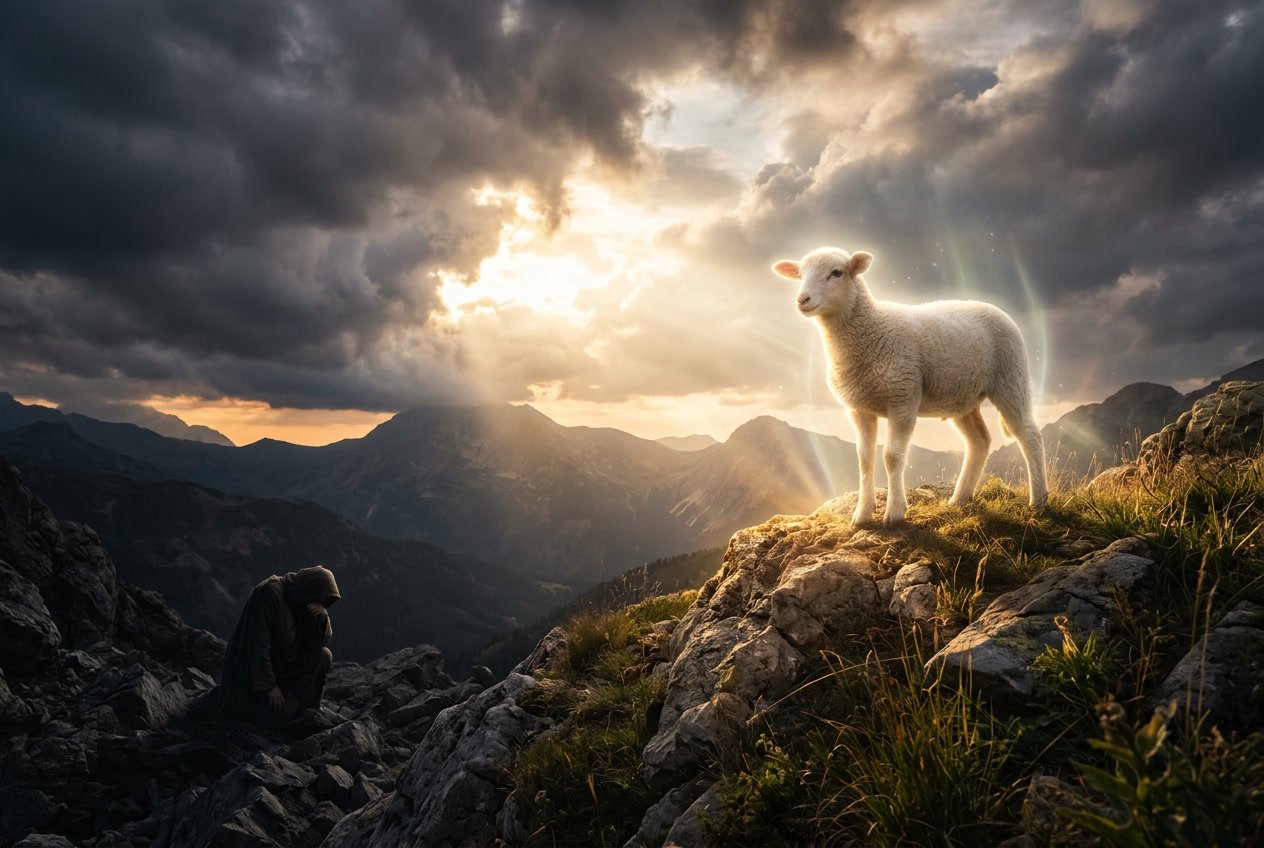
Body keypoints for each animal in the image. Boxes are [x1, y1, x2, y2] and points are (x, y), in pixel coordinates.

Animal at [772, 246, 1048, 526]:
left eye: (836, 273)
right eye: (800, 274)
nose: (802, 300)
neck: (870, 329)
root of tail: (995, 308)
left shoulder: (903, 399)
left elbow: (891, 457)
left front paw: (894, 513)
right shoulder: (859, 408)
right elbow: (864, 459)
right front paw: (862, 514)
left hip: (1010, 377)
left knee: (1029, 435)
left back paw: (1038, 501)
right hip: (962, 396)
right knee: (980, 441)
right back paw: (959, 498)